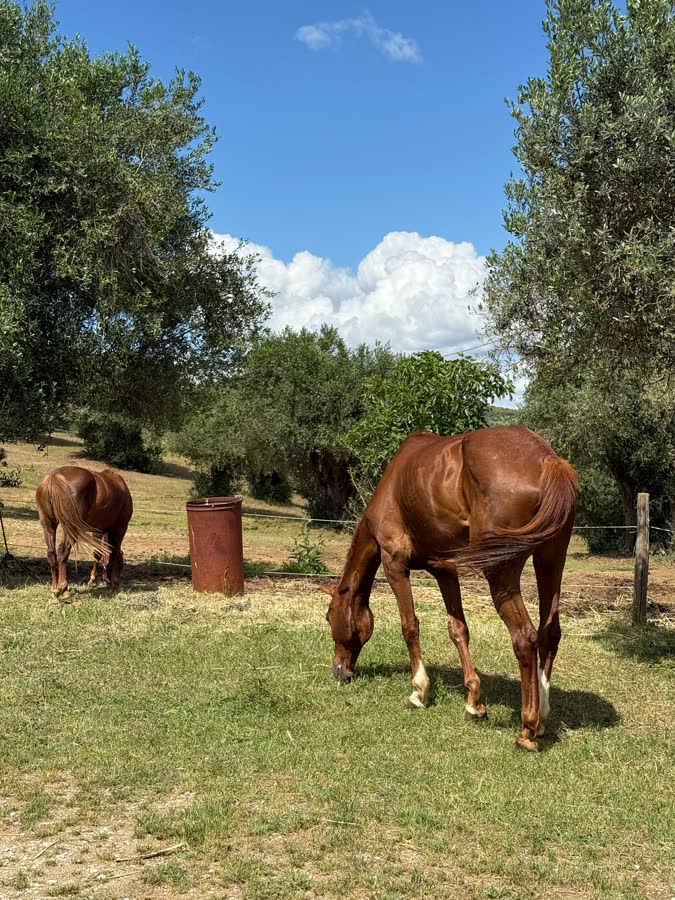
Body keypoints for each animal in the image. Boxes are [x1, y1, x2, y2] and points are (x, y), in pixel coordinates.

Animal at [36, 466, 133, 598]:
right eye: (122, 567)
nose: (107, 581)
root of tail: (54, 477)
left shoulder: (98, 531)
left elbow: (97, 553)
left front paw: (93, 579)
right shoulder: (119, 529)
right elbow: (114, 553)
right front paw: (114, 583)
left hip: (49, 526)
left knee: (51, 553)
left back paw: (55, 587)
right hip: (71, 528)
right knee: (63, 551)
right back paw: (62, 587)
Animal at [323, 425, 578, 752]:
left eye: (329, 617)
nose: (339, 672)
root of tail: (547, 460)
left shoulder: (394, 564)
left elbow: (410, 626)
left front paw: (419, 691)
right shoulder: (444, 570)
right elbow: (458, 630)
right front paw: (474, 702)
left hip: (502, 574)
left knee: (525, 637)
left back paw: (527, 729)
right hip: (551, 561)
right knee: (550, 633)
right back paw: (543, 718)